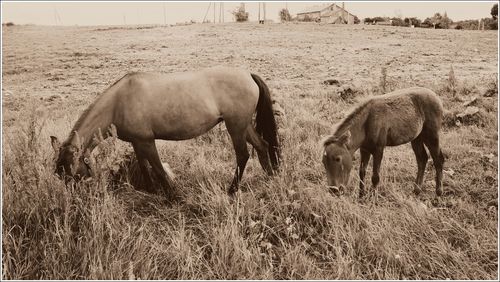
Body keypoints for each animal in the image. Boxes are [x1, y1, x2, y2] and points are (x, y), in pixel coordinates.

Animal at [50, 66, 282, 195]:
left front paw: (172, 195)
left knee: (243, 155)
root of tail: (248, 75)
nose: (76, 204)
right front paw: (151, 190)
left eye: (73, 175)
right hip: (244, 126)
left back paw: (232, 190)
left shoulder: (147, 141)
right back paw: (269, 177)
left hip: (235, 127)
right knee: (263, 146)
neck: (119, 102)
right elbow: (144, 166)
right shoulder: (137, 142)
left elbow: (159, 169)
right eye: (59, 176)